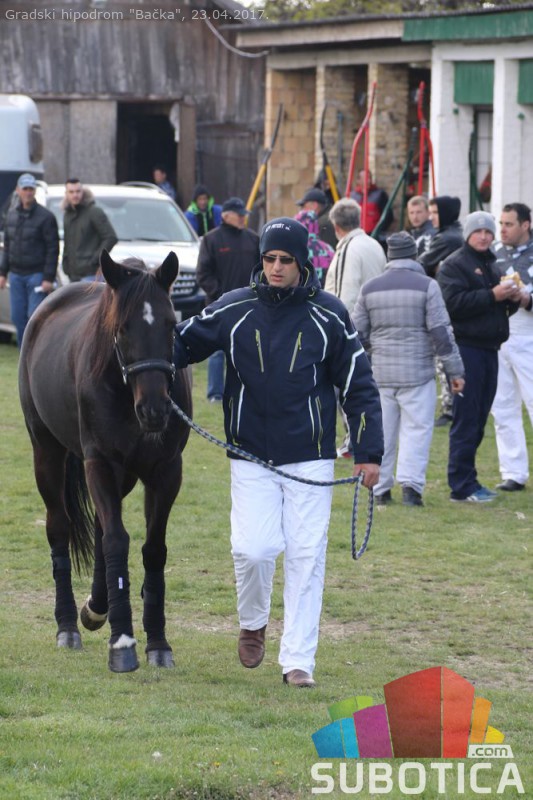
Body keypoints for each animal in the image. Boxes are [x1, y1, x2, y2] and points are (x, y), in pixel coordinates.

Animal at [18, 250, 192, 672]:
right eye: (123, 328)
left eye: (170, 323)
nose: (155, 410)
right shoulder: (99, 463)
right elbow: (116, 540)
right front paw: (123, 642)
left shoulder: (166, 472)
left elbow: (152, 548)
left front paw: (157, 641)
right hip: (47, 453)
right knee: (60, 528)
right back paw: (68, 625)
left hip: (123, 476)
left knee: (98, 527)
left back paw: (97, 607)